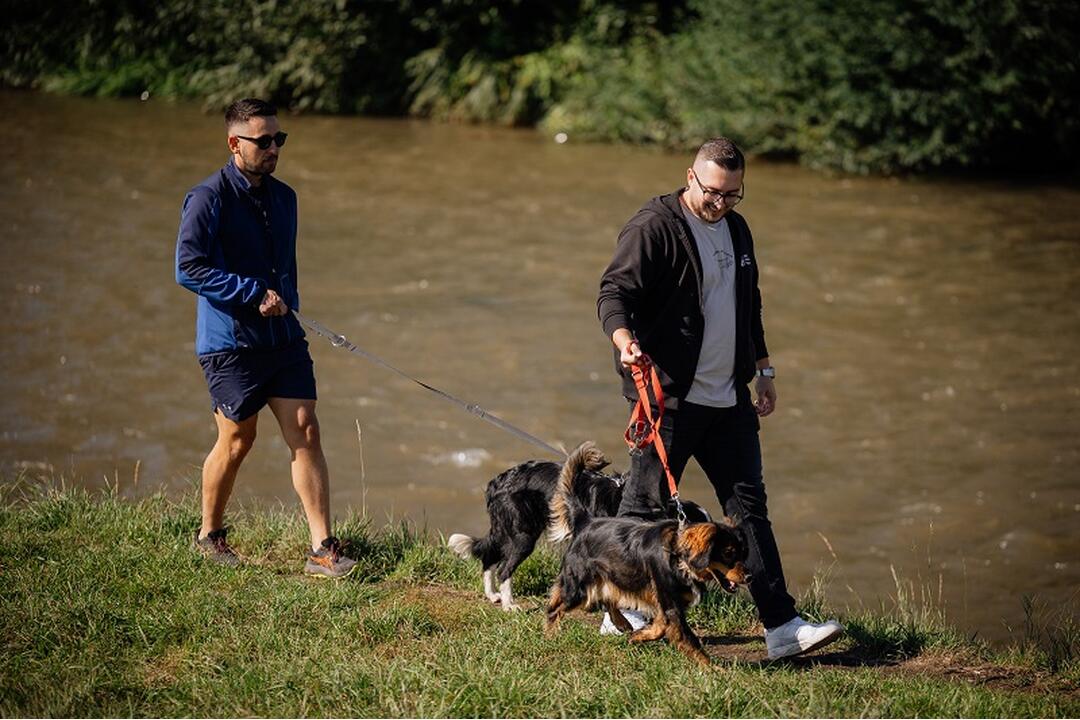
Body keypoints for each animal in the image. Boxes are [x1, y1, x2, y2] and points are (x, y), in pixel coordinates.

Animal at [447, 444, 708, 608]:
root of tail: (498, 481)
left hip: (506, 530)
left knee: (489, 556)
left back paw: (493, 595)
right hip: (522, 535)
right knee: (504, 567)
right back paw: (509, 604)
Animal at [544, 442, 747, 669]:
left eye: (742, 552)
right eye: (728, 553)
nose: (749, 576)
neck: (679, 557)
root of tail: (585, 520)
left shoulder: (666, 606)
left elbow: (659, 628)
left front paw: (638, 636)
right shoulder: (671, 605)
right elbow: (688, 638)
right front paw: (713, 668)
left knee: (607, 597)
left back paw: (623, 624)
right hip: (577, 587)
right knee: (554, 608)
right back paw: (550, 637)